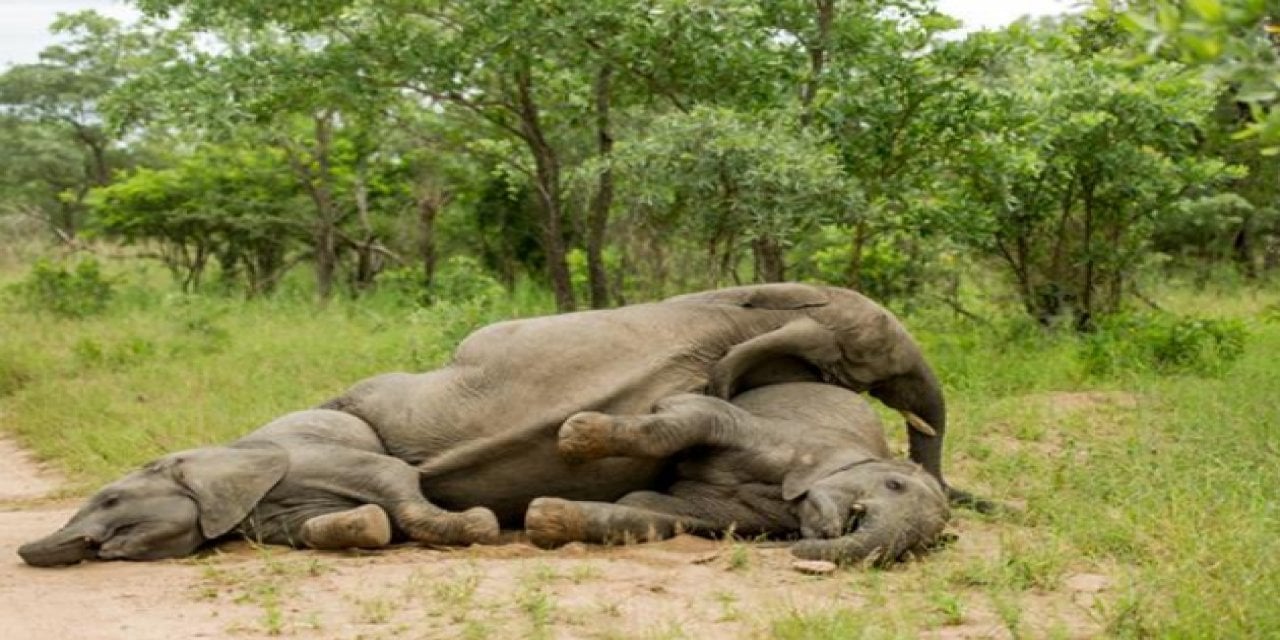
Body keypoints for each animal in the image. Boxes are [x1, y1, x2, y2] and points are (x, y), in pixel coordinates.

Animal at [20, 409, 501, 565]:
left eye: (111, 500)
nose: (22, 552)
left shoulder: (308, 458)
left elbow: (395, 475)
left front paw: (480, 521)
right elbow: (309, 528)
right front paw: (367, 525)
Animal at [519, 381, 952, 563]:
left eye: (917, 547)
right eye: (894, 484)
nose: (798, 548)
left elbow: (654, 514)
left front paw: (545, 519)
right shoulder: (779, 434)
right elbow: (695, 413)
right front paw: (575, 435)